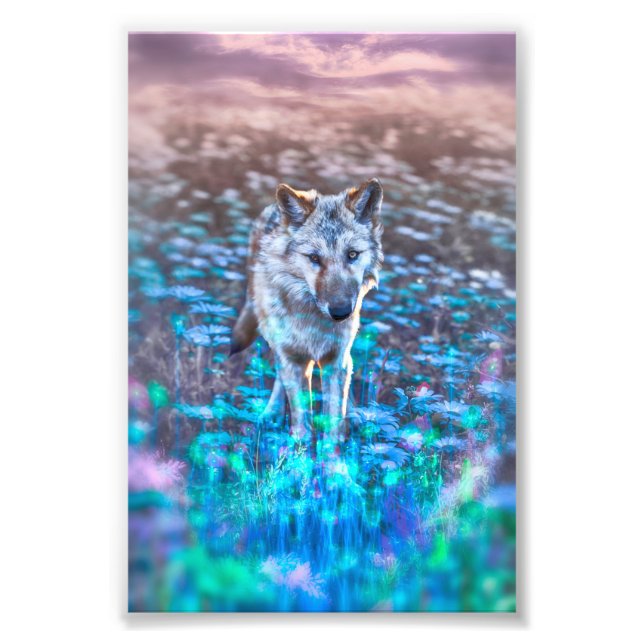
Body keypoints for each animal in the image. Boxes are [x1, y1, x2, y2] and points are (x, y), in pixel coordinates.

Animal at [230, 178, 384, 441]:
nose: (341, 312)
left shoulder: (335, 360)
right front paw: (299, 450)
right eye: (314, 258)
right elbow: (302, 423)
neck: (313, 322)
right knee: (280, 377)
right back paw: (271, 414)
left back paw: (354, 415)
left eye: (352, 254)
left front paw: (334, 449)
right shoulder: (293, 360)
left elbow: (334, 423)